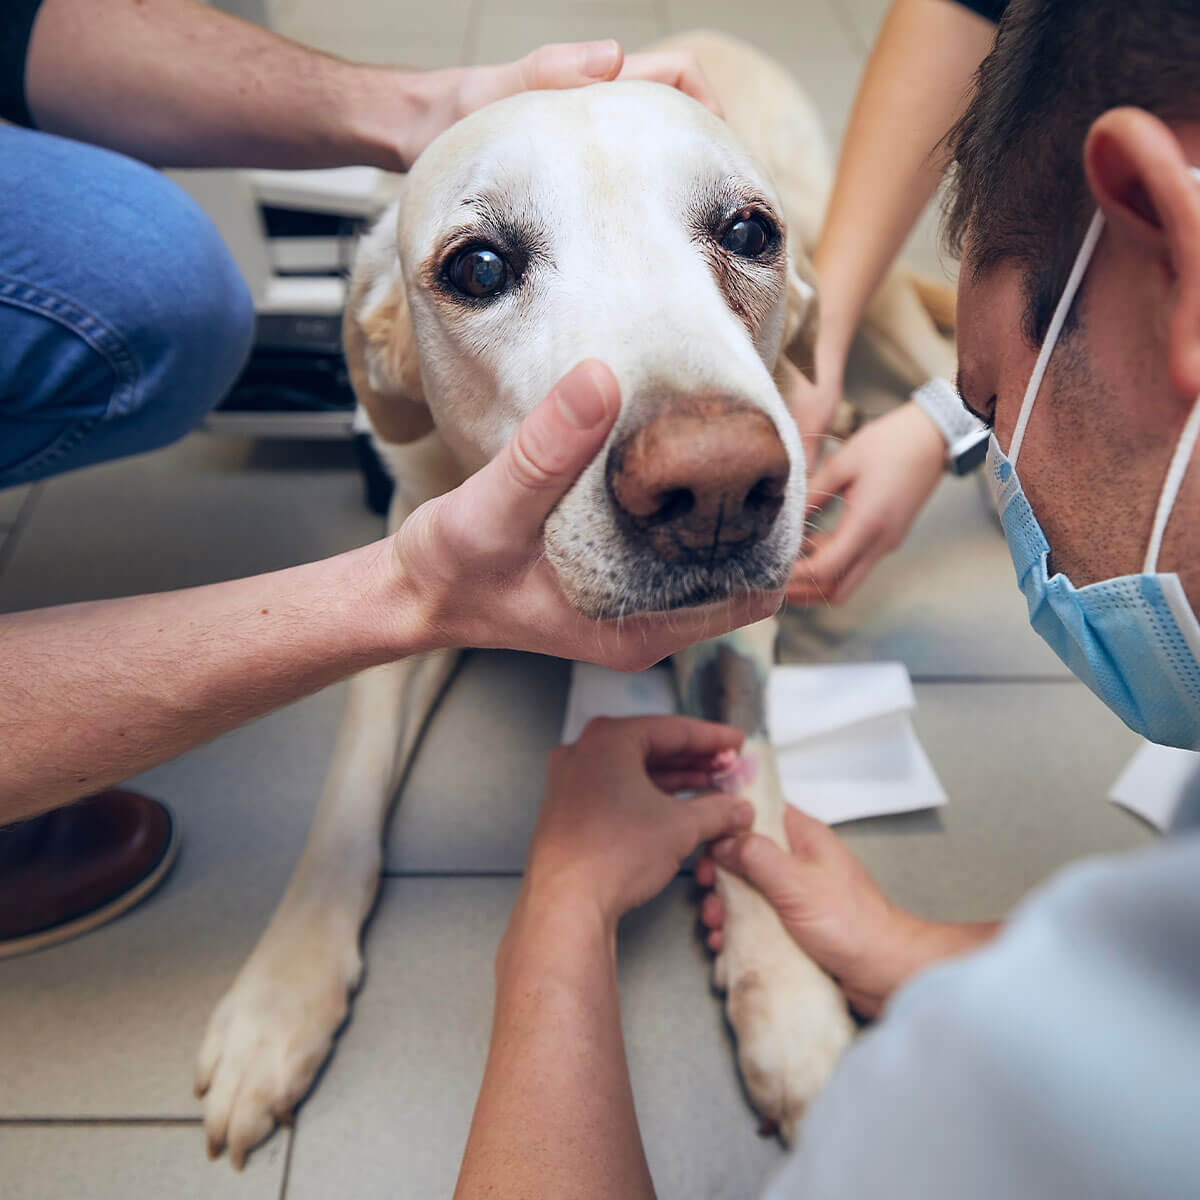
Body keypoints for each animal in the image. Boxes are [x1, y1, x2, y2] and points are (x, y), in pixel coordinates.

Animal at [196, 32, 950, 1166]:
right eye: (478, 267)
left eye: (746, 232)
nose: (715, 488)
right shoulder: (409, 576)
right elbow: (348, 790)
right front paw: (278, 999)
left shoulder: (738, 634)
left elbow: (751, 779)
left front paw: (789, 999)